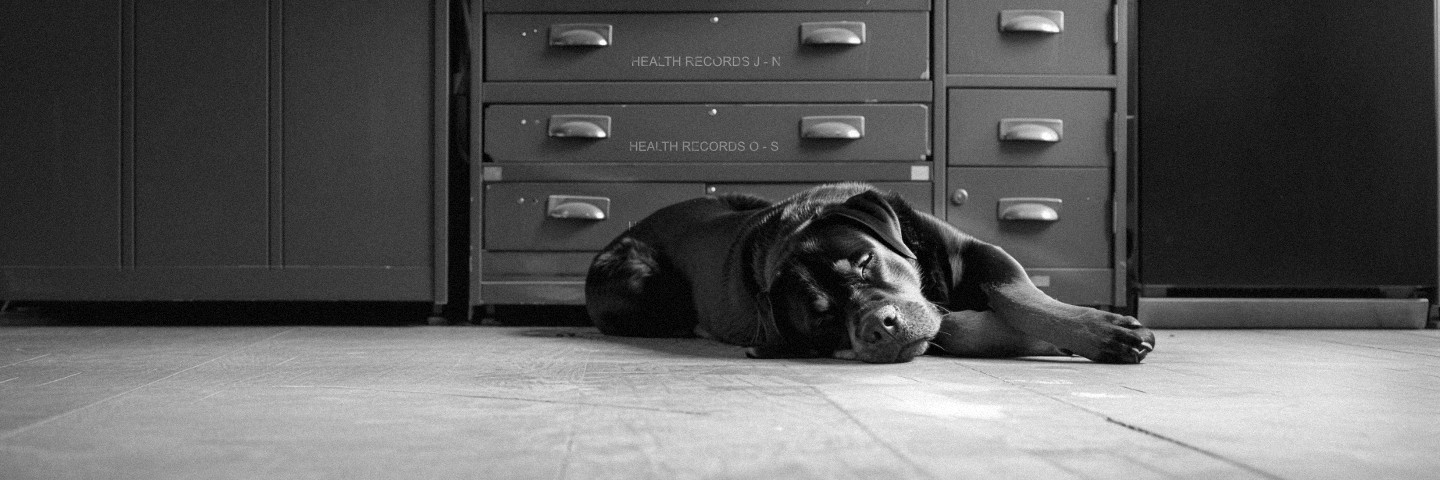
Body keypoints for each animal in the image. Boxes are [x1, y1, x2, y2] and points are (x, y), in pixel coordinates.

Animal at [585, 183, 1154, 364]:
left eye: (864, 261)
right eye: (821, 317)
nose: (881, 326)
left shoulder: (976, 253)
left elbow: (1021, 297)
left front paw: (1098, 329)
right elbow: (954, 325)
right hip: (639, 281)